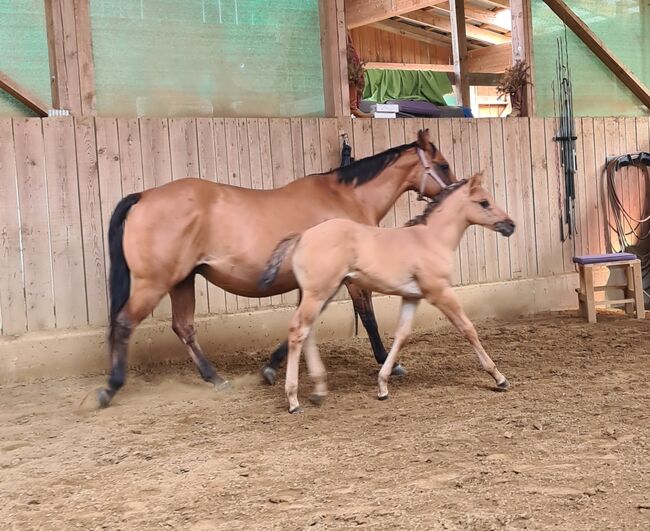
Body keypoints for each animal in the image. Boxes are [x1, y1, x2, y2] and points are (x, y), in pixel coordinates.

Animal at [96, 128, 454, 408]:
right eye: (443, 165)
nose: (453, 194)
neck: (345, 199)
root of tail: (143, 196)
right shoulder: (347, 279)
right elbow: (367, 318)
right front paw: (388, 364)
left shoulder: (316, 283)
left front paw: (270, 368)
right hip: (154, 282)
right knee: (126, 322)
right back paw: (111, 388)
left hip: (181, 280)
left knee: (183, 327)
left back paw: (215, 379)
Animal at [256, 172, 512, 414]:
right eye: (484, 202)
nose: (510, 225)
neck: (430, 239)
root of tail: (302, 236)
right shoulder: (440, 292)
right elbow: (467, 328)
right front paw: (499, 378)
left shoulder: (411, 297)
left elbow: (402, 335)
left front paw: (383, 386)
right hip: (319, 293)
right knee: (298, 330)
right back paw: (293, 400)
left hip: (320, 293)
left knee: (306, 332)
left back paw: (318, 391)